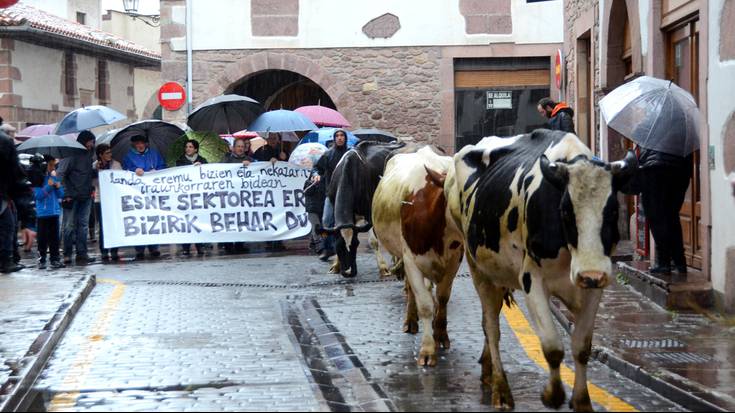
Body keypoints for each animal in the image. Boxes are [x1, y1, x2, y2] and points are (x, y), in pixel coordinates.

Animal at [374, 146, 466, 366]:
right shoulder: (410, 260)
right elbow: (424, 303)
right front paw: (427, 350)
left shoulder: (455, 260)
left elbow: (442, 297)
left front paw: (440, 334)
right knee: (411, 290)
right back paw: (410, 321)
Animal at [448, 128, 640, 408]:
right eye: (565, 211)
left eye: (613, 211)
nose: (590, 274)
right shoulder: (532, 280)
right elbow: (552, 346)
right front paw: (553, 394)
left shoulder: (595, 288)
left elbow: (582, 347)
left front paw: (581, 401)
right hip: (478, 269)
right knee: (491, 327)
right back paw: (501, 389)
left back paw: (487, 369)